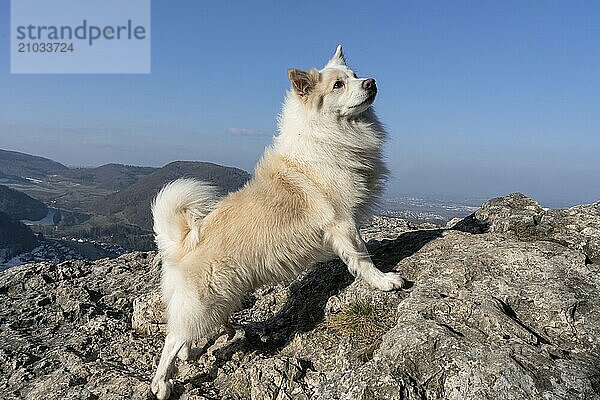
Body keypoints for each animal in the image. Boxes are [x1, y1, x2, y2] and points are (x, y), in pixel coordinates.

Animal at [150, 45, 406, 398]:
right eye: (338, 85)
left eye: (355, 75)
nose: (372, 82)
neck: (328, 134)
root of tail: (182, 242)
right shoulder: (342, 222)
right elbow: (361, 257)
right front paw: (383, 281)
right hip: (204, 302)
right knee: (172, 339)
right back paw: (162, 383)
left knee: (184, 339)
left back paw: (189, 354)